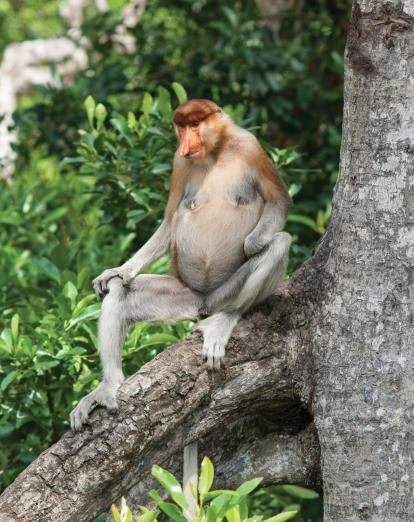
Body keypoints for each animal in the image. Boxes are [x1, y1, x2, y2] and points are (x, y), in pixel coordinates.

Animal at [70, 98, 292, 430]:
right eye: (182, 127)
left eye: (195, 124)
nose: (187, 143)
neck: (214, 152)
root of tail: (205, 301)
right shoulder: (178, 162)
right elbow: (170, 218)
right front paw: (118, 270)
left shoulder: (251, 147)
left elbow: (279, 201)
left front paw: (252, 243)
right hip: (184, 294)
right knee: (120, 291)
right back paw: (108, 386)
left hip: (226, 292)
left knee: (279, 244)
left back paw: (224, 320)